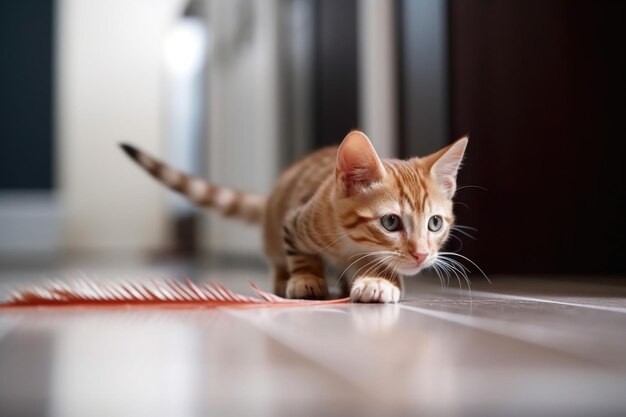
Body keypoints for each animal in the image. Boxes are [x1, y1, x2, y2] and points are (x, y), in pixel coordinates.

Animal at [119, 130, 466, 302]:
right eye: (391, 222)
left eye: (435, 223)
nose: (421, 254)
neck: (350, 245)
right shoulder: (295, 222)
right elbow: (301, 254)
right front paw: (306, 279)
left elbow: (385, 269)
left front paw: (378, 282)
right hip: (273, 232)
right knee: (276, 257)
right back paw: (284, 278)